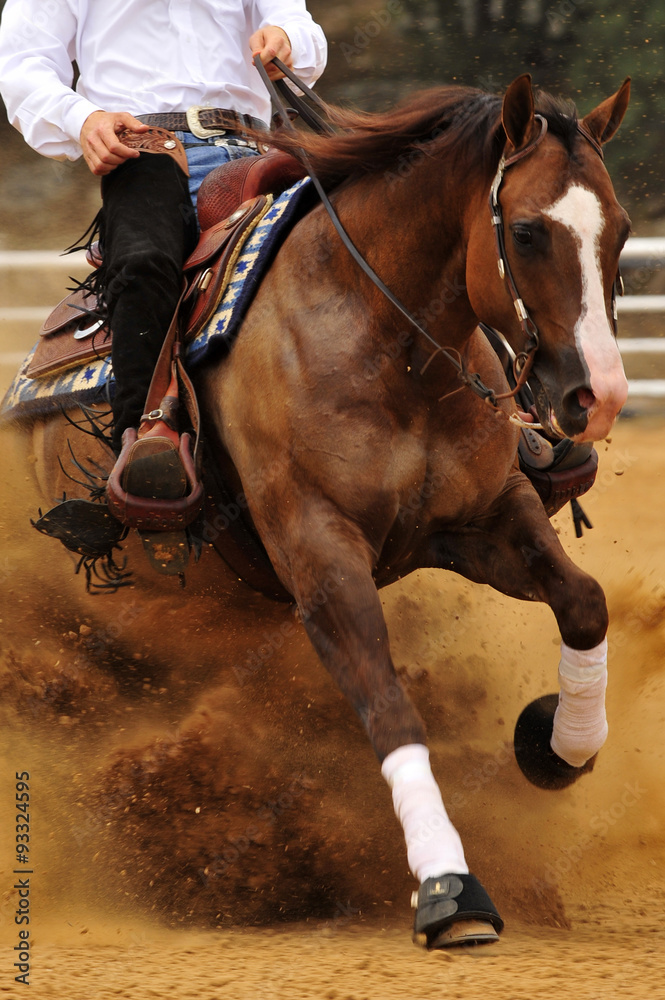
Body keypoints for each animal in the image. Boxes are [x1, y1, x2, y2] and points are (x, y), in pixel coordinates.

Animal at [4, 73, 631, 948]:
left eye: (622, 231)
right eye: (529, 232)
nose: (596, 396)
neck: (378, 334)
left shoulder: (486, 519)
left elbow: (582, 602)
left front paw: (558, 746)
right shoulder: (319, 550)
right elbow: (389, 705)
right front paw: (447, 888)